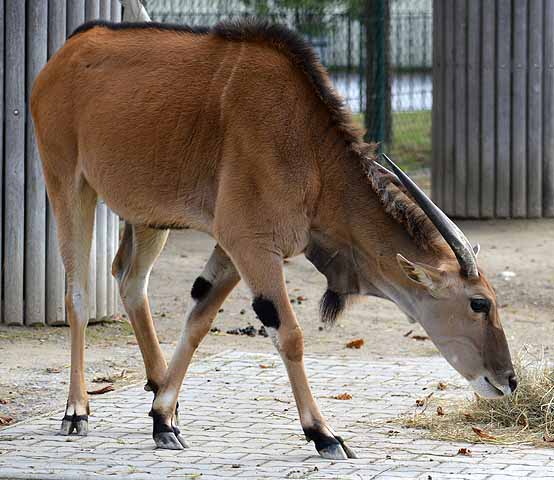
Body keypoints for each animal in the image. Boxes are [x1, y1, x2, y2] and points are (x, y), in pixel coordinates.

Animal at [32, 19, 516, 462]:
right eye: (479, 303)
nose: (508, 380)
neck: (312, 151)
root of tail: (66, 54)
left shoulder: (232, 249)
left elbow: (199, 318)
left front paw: (163, 418)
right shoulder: (251, 245)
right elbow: (289, 334)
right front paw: (323, 433)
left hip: (149, 219)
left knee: (131, 281)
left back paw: (156, 387)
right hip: (70, 187)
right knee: (78, 294)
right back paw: (76, 410)